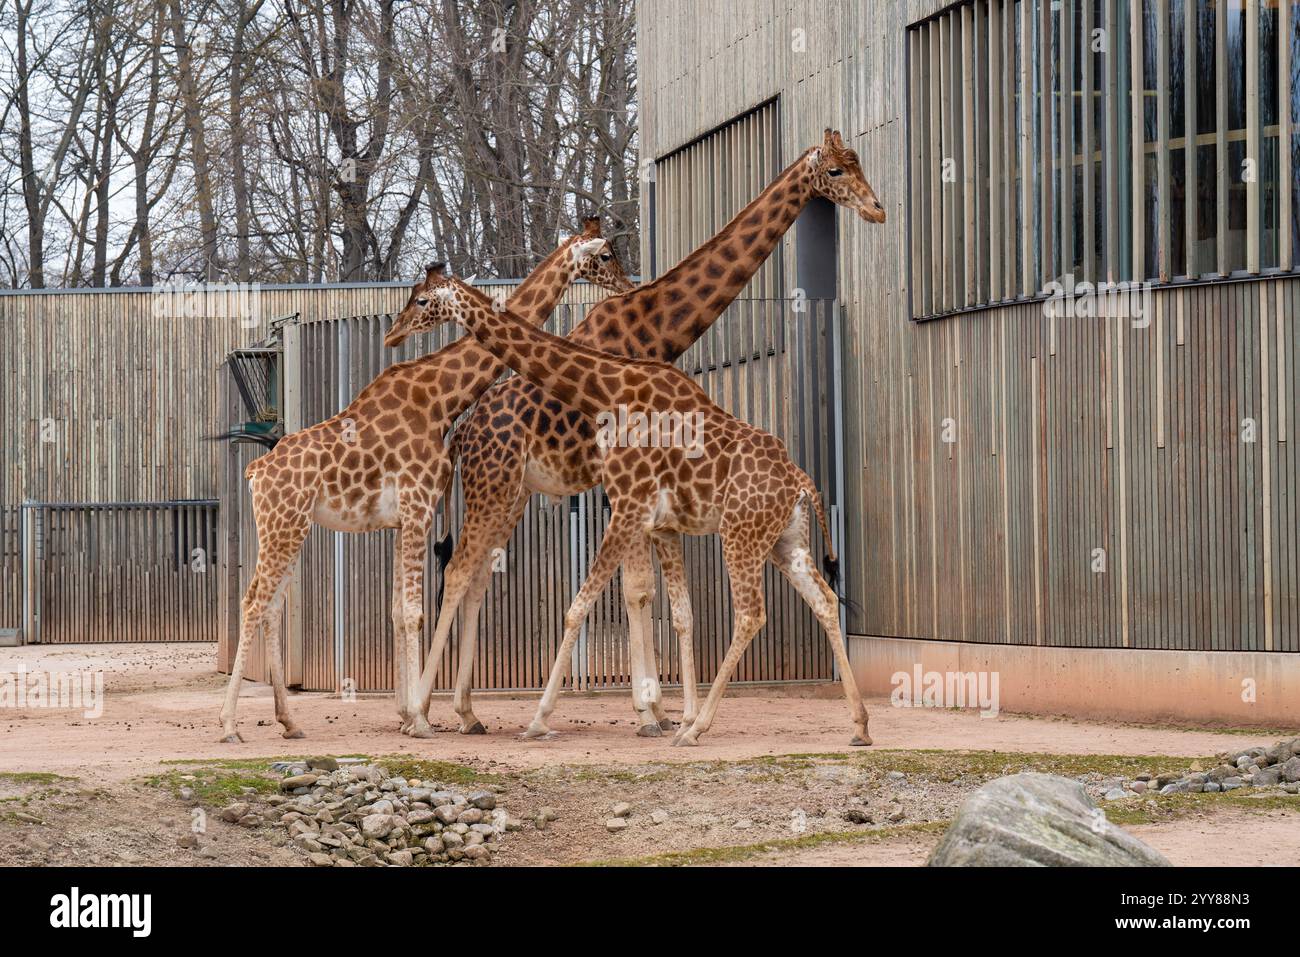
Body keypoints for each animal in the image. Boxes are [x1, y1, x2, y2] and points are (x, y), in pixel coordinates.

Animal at [218, 221, 634, 743]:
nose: (627, 284)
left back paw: (289, 722)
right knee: (253, 601)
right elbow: (416, 610)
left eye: (420, 299)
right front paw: (418, 719)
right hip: (283, 525)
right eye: (605, 254)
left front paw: (408, 713)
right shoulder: (418, 507)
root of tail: (256, 472)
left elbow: (400, 611)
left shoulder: (405, 518)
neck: (441, 399)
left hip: (289, 528)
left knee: (271, 604)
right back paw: (229, 724)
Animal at [400, 128, 889, 738]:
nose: (878, 209)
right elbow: (638, 590)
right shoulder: (624, 492)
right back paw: (419, 712)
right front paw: (653, 708)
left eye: (857, 164)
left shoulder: (638, 497)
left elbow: (650, 596)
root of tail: (463, 432)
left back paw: (464, 712)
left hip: (514, 493)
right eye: (839, 172)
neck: (655, 327)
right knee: (460, 572)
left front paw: (659, 708)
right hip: (496, 487)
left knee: (473, 577)